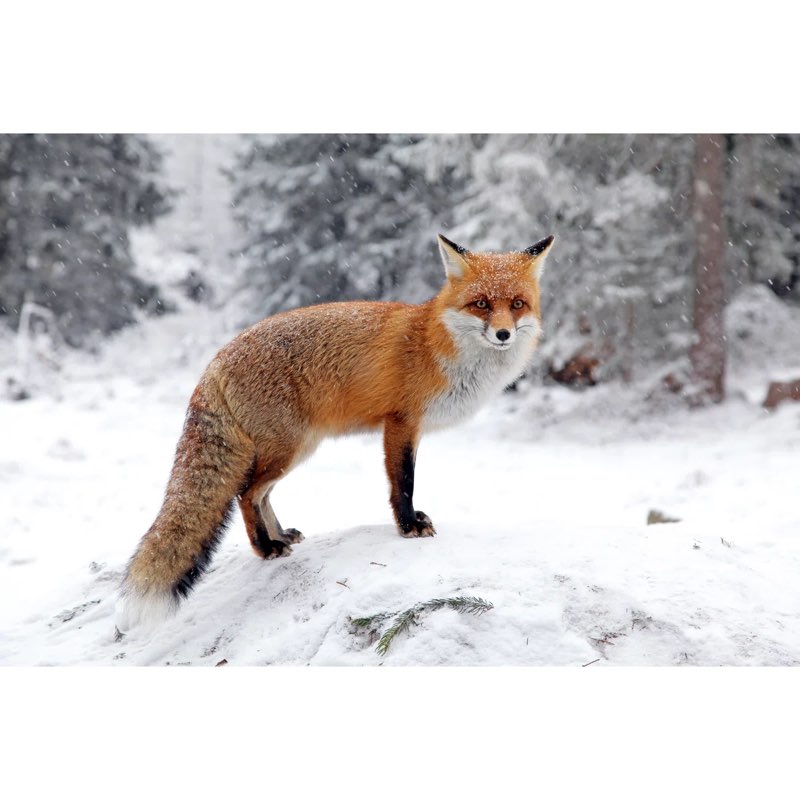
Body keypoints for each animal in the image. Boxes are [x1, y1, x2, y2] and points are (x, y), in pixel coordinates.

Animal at [118, 233, 555, 630]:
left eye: (517, 305)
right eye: (482, 304)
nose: (503, 334)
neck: (438, 346)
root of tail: (216, 360)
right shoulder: (401, 421)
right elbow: (403, 483)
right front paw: (408, 527)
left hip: (295, 450)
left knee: (261, 495)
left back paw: (281, 536)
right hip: (287, 449)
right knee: (246, 494)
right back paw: (265, 547)